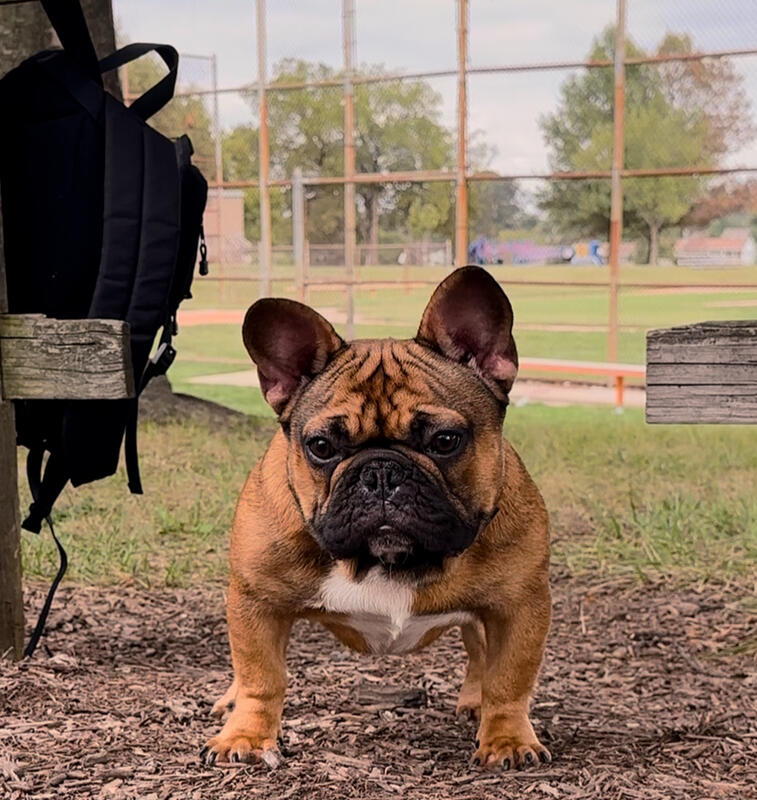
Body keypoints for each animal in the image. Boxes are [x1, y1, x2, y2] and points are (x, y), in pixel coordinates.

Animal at [202, 266, 551, 771]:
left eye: (445, 440)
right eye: (321, 446)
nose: (380, 472)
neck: (386, 562)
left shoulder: (518, 605)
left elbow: (508, 679)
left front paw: (506, 738)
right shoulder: (256, 602)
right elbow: (260, 676)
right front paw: (246, 735)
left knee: (478, 652)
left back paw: (474, 702)